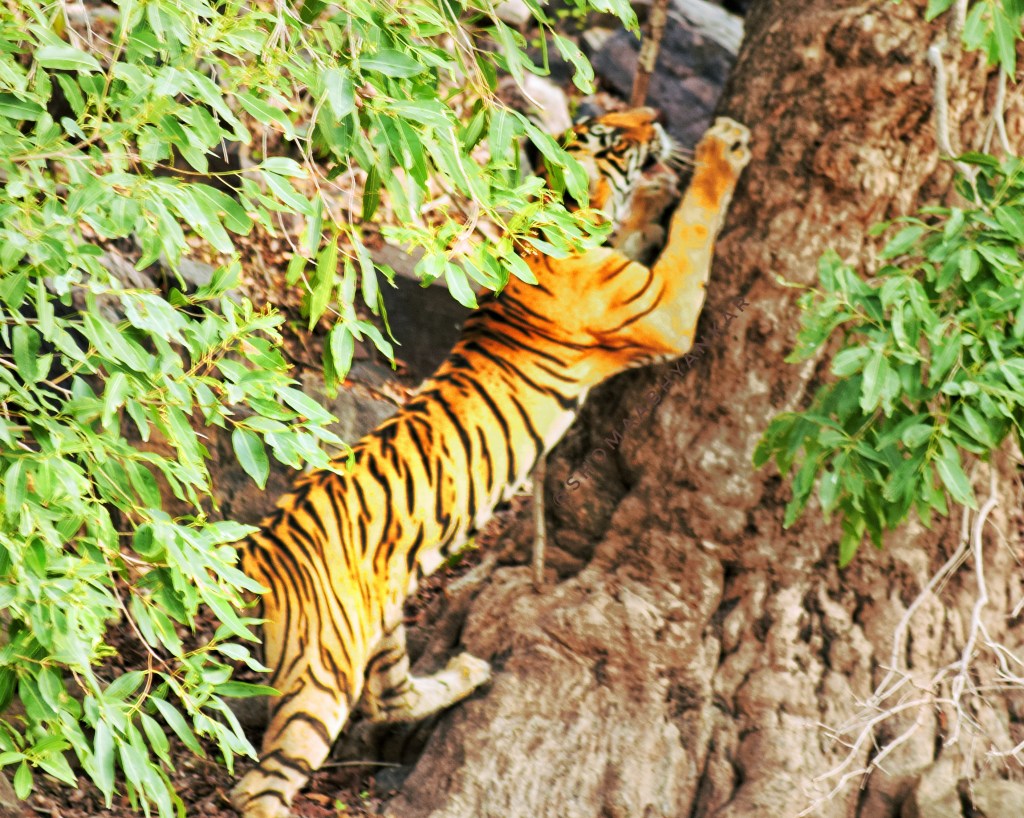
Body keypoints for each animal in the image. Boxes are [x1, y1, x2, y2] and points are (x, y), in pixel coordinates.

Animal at [229, 110, 752, 818]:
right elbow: (695, 229)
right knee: (260, 784)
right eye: (614, 135)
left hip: (380, 629)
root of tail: (255, 551)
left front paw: (651, 199)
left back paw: (468, 672)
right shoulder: (664, 308)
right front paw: (721, 150)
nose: (658, 119)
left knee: (391, 699)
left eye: (603, 120)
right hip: (322, 669)